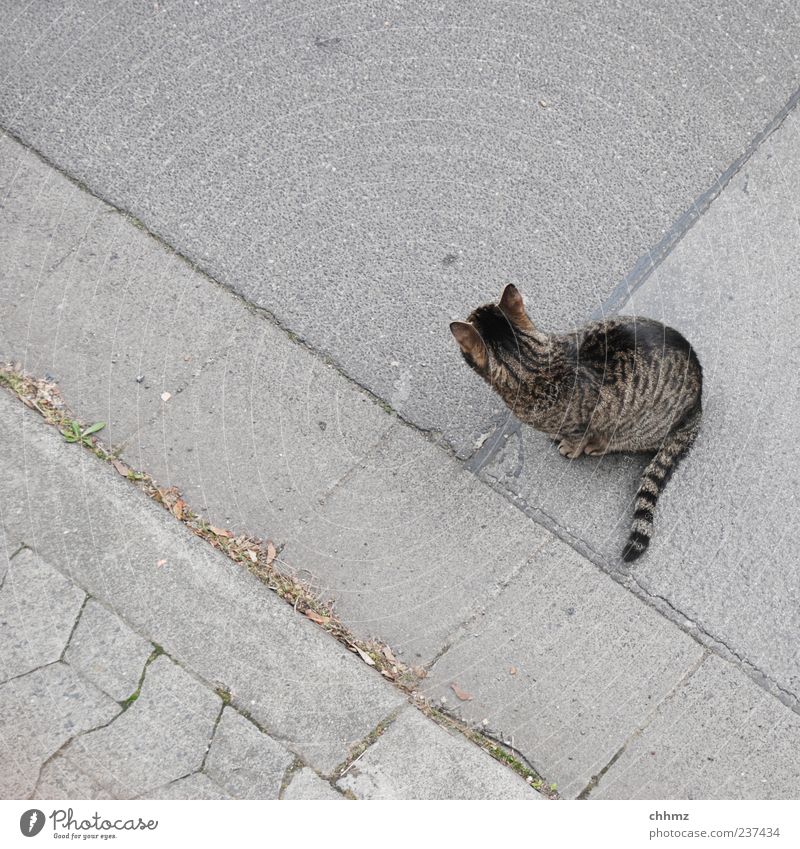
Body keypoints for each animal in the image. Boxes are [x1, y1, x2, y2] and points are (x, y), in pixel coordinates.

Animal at [450, 284, 700, 564]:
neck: (535, 364)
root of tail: (699, 402)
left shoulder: (582, 423)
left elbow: (576, 437)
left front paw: (571, 446)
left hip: (632, 429)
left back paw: (598, 445)